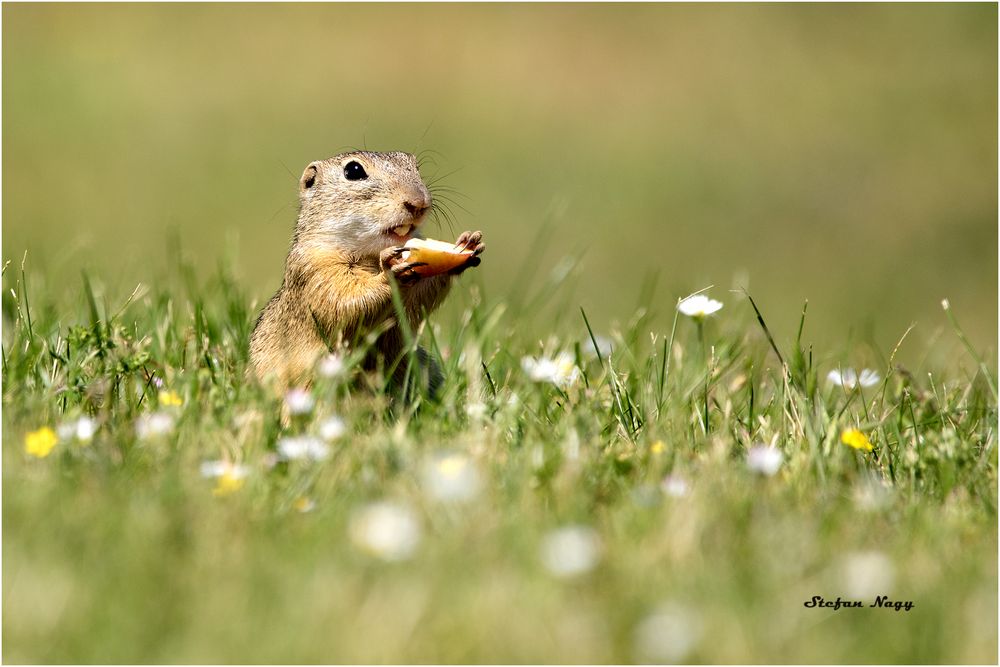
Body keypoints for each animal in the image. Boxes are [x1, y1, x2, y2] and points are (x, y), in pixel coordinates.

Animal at [249, 151, 484, 392]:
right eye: (354, 170)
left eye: (414, 165)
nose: (419, 203)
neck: (371, 255)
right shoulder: (314, 270)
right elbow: (342, 302)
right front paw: (390, 275)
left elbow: (415, 303)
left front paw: (467, 244)